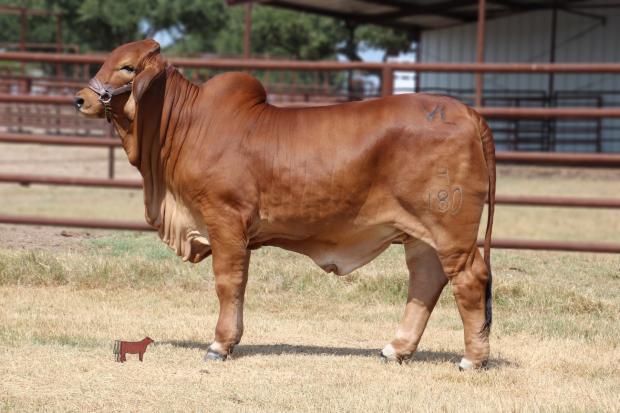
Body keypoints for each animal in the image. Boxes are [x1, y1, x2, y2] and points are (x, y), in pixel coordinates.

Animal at [76, 38, 494, 368]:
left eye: (128, 67)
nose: (80, 99)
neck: (186, 126)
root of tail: (468, 112)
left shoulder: (225, 219)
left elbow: (229, 282)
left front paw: (220, 344)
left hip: (450, 229)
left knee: (470, 278)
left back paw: (471, 359)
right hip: (420, 235)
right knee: (426, 281)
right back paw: (396, 349)